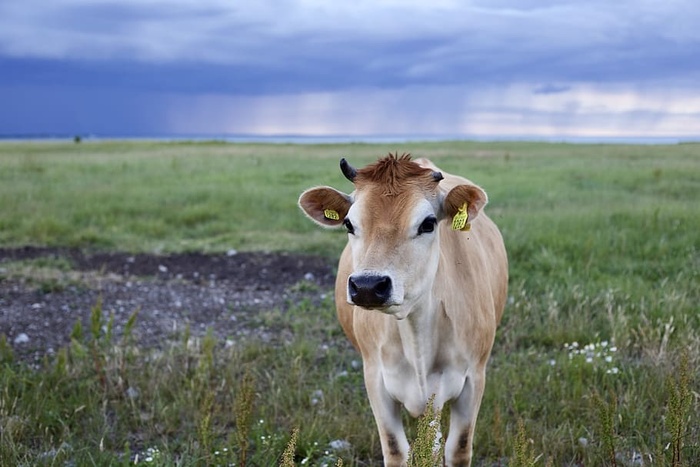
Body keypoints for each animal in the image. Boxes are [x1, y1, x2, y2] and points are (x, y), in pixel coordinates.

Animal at [296, 154, 508, 467]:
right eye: (349, 224)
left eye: (428, 223)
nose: (368, 286)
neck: (415, 330)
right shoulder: (375, 379)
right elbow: (397, 450)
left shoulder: (473, 379)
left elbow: (457, 449)